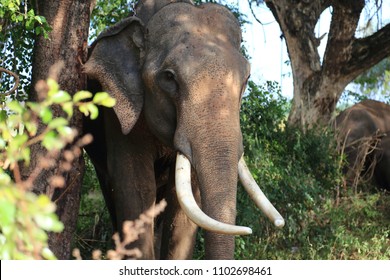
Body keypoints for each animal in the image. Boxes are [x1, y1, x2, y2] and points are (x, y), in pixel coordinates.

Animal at [83, 0, 284, 260]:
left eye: (247, 78)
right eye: (169, 77)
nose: (246, 230)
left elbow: (183, 207)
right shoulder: (119, 113)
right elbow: (136, 188)